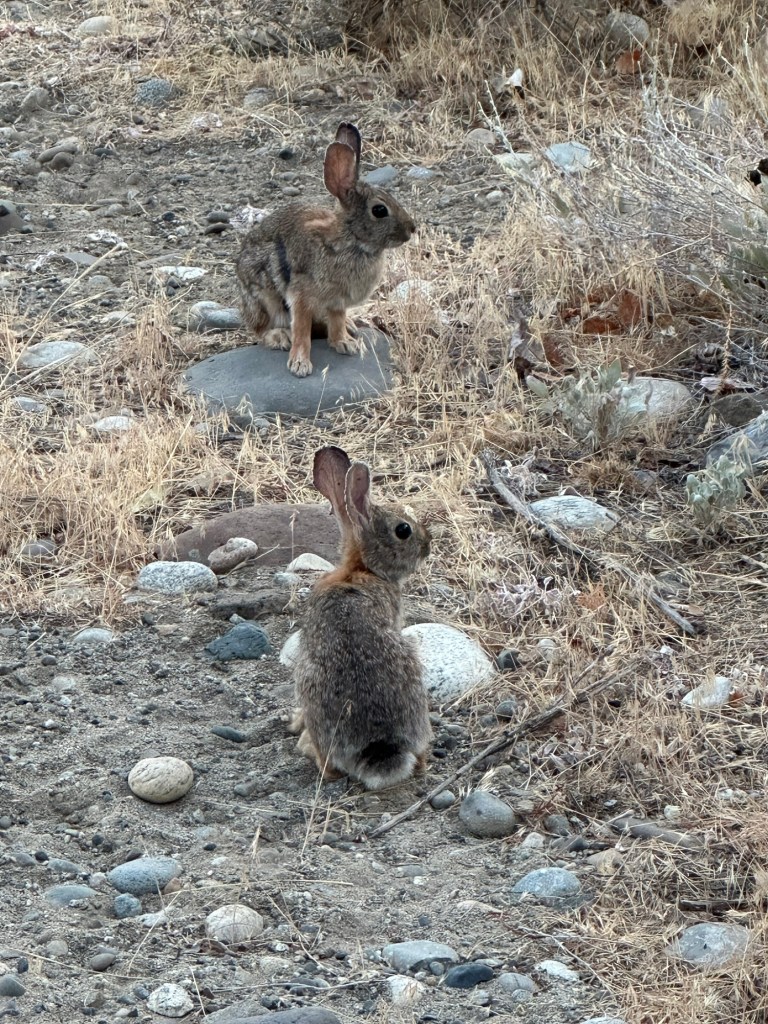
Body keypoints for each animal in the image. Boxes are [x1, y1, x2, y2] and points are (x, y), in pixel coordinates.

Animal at [235, 122, 416, 378]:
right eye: (380, 210)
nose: (412, 229)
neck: (350, 240)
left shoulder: (338, 302)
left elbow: (337, 323)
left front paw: (345, 344)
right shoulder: (301, 297)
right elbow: (301, 331)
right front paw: (300, 365)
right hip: (263, 298)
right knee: (261, 330)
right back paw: (279, 337)